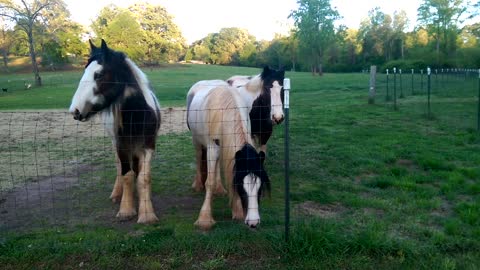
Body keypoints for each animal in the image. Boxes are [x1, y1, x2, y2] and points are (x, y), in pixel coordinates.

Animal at [68, 38, 161, 224]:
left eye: (98, 74)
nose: (75, 110)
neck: (137, 116)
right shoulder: (122, 145)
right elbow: (126, 174)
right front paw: (126, 210)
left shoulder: (148, 145)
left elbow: (143, 177)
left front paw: (147, 213)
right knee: (120, 167)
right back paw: (117, 194)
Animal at [187, 85, 270, 230]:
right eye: (242, 187)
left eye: (260, 188)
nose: (253, 222)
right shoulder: (212, 148)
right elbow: (210, 182)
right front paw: (204, 219)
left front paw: (237, 211)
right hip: (196, 141)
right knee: (198, 157)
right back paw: (198, 185)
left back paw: (219, 189)